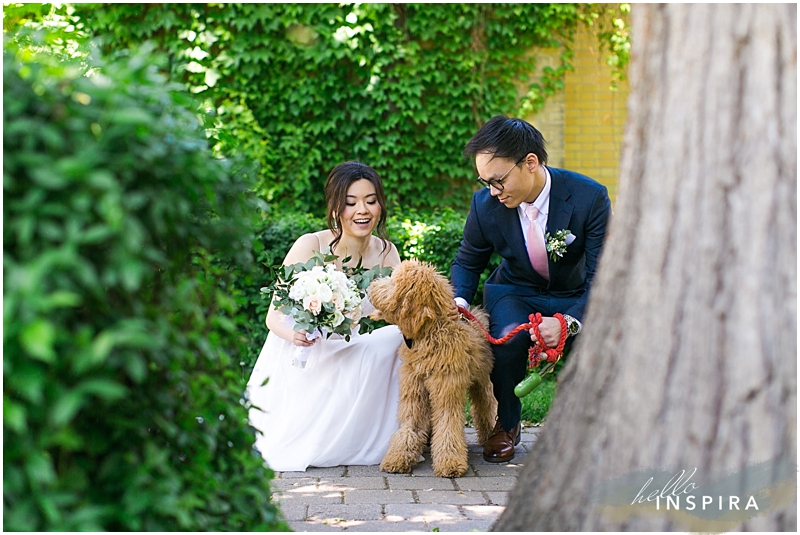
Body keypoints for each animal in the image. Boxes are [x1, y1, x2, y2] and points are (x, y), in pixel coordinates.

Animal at [368, 260, 494, 478]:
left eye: (393, 282)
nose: (372, 284)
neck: (431, 334)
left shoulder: (447, 389)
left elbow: (448, 425)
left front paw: (450, 462)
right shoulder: (413, 388)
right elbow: (409, 424)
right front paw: (398, 457)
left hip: (481, 380)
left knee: (485, 405)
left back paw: (489, 435)